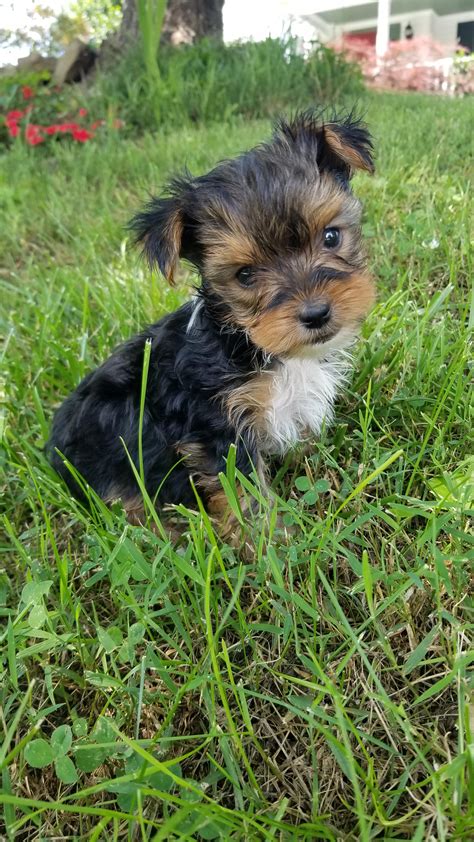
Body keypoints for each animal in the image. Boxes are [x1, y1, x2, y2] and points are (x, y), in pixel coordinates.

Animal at [47, 110, 374, 540]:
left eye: (331, 236)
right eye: (245, 275)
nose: (316, 313)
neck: (251, 342)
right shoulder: (216, 427)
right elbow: (246, 493)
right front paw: (270, 544)